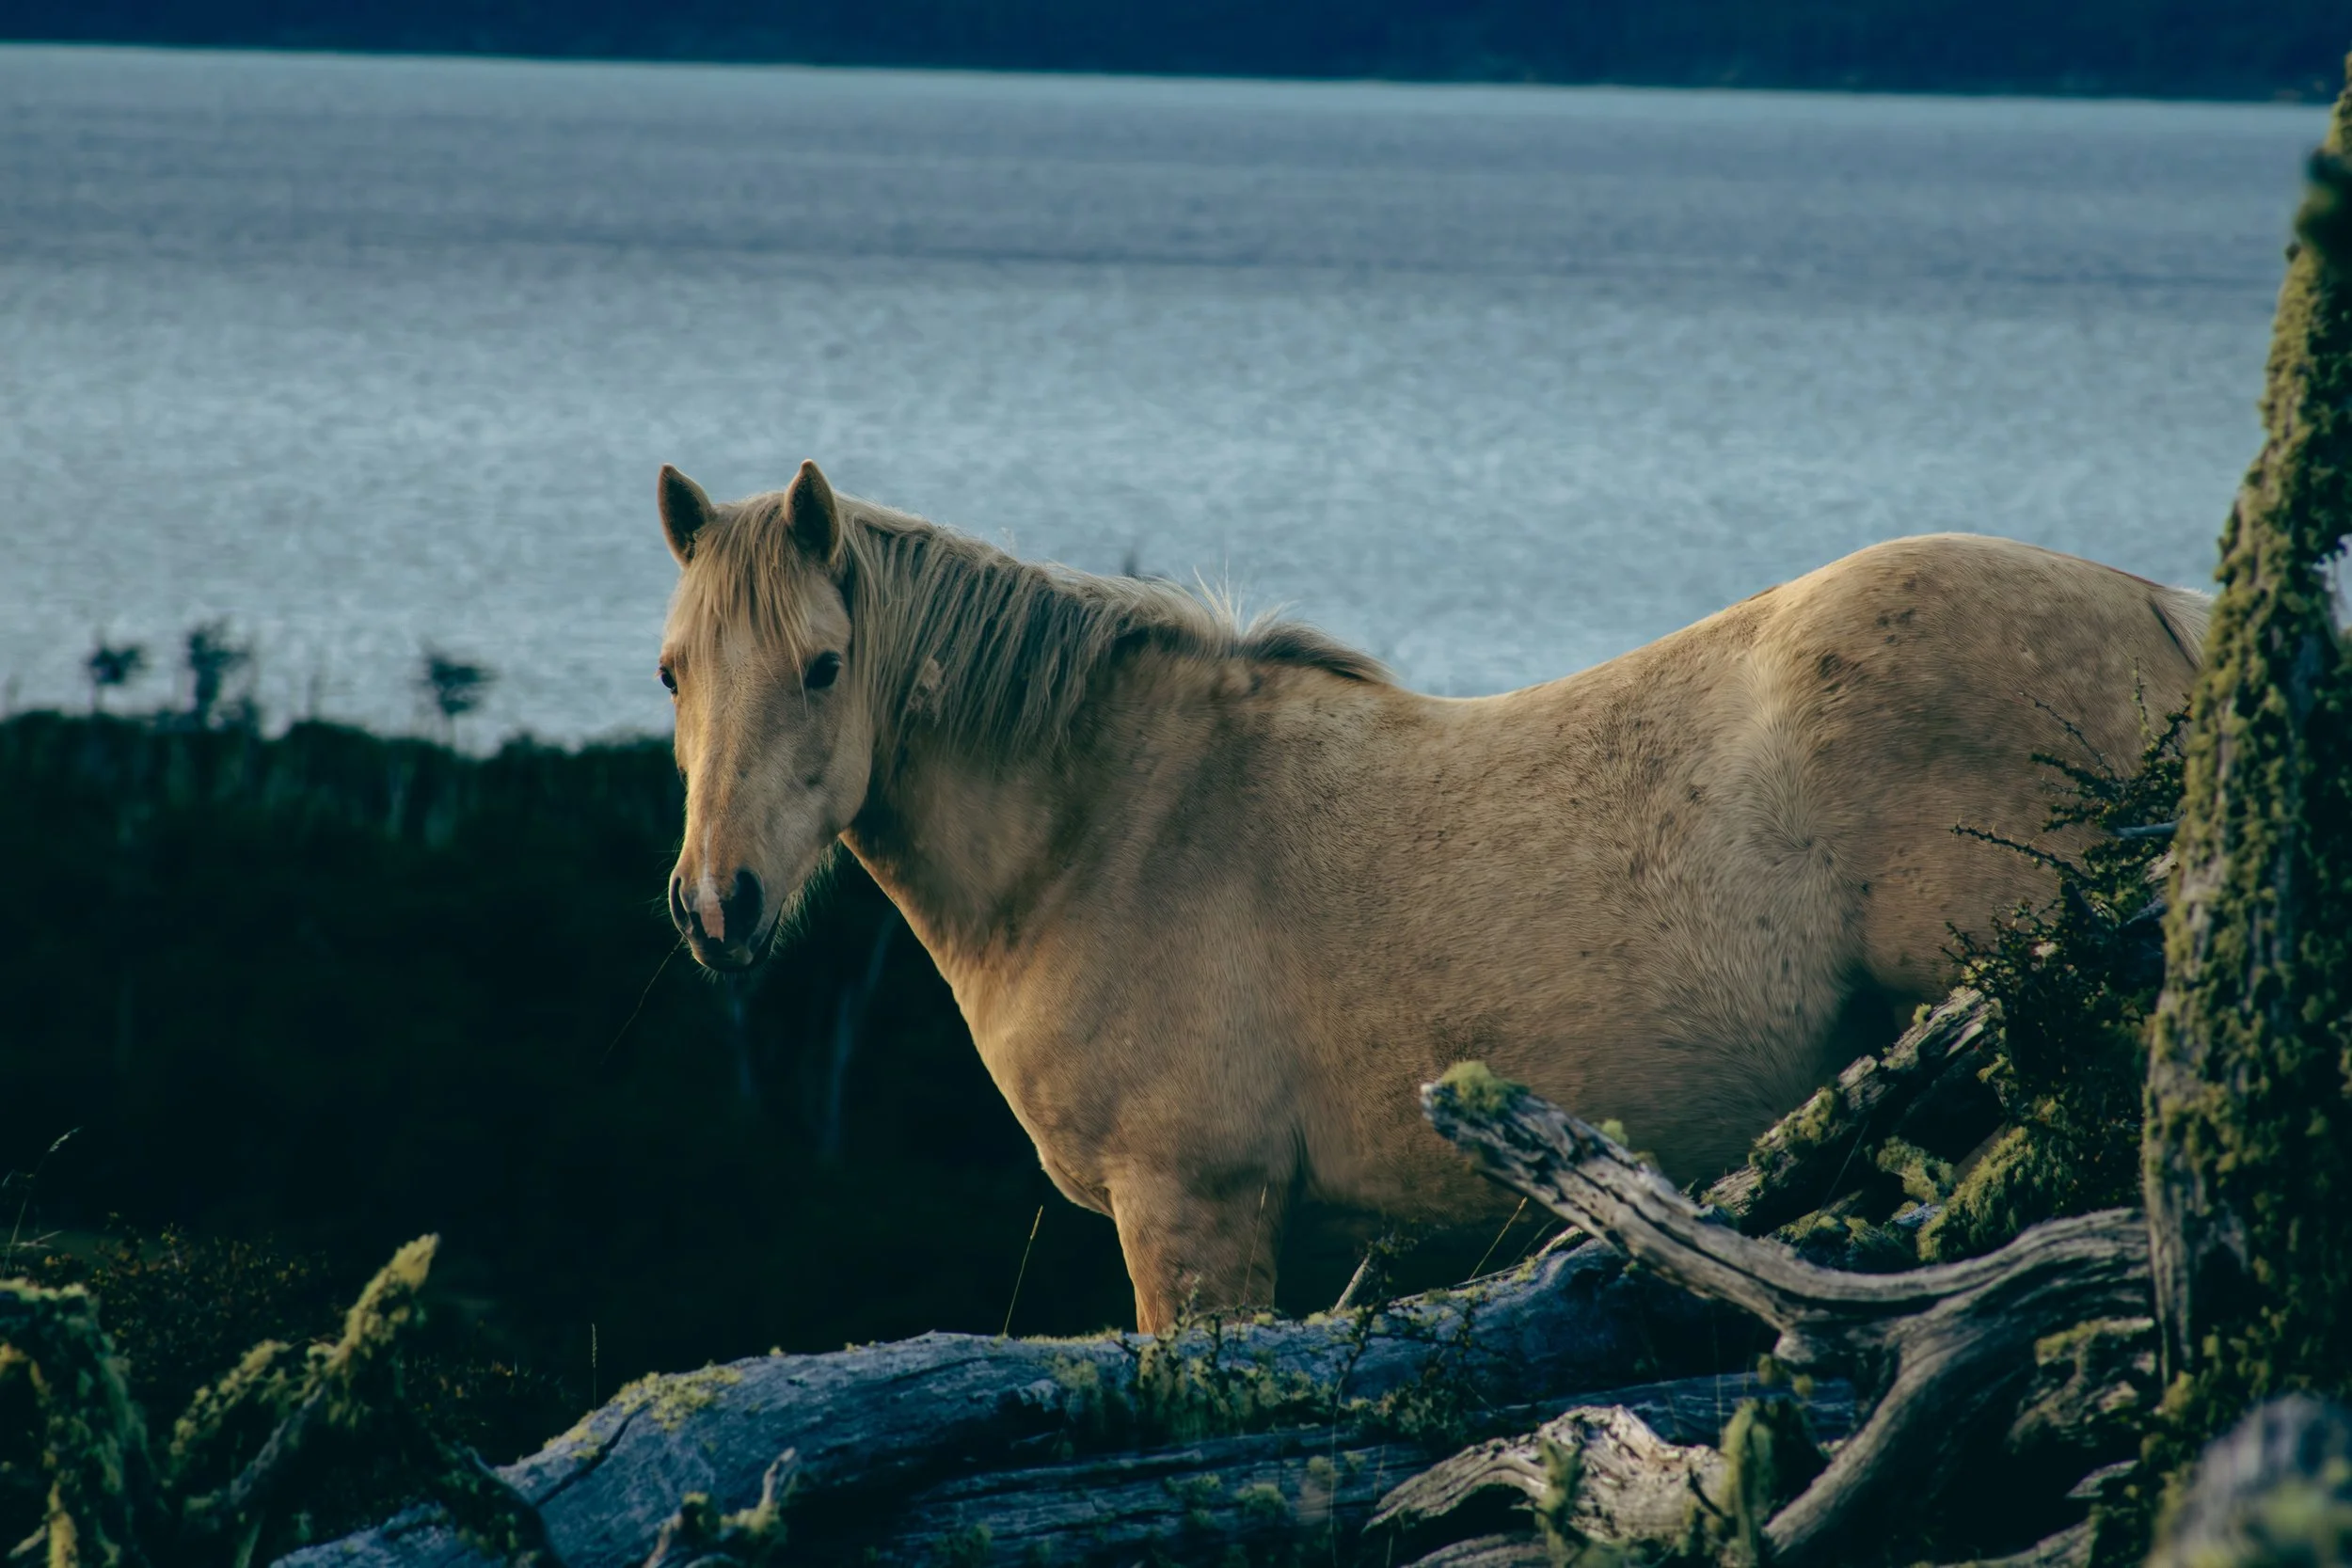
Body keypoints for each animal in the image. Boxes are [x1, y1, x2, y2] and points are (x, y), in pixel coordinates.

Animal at [653, 459, 2208, 1332]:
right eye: (672, 669)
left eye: (823, 665)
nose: (718, 903)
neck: (1119, 822)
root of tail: (2166, 612)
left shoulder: (1195, 1218)